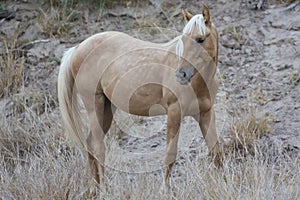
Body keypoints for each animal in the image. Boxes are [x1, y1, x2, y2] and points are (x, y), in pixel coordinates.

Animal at [58, 5, 223, 191]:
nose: (181, 74)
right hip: (95, 105)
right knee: (98, 146)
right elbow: (170, 155)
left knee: (90, 143)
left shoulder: (206, 114)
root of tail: (78, 48)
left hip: (107, 109)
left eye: (200, 39)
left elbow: (216, 151)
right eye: (183, 40)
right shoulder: (174, 113)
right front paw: (165, 190)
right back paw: (104, 190)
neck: (199, 82)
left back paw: (96, 188)